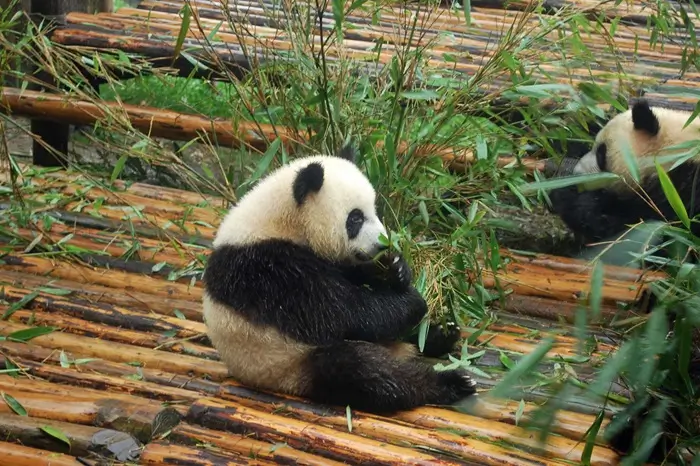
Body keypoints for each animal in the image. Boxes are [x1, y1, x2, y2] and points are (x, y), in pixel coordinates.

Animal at [202, 145, 477, 414]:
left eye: (375, 210)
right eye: (355, 218)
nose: (382, 244)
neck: (281, 219)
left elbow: (354, 277)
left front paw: (396, 269)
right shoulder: (269, 270)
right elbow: (340, 313)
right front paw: (414, 301)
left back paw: (442, 335)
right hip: (288, 363)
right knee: (363, 369)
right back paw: (452, 382)